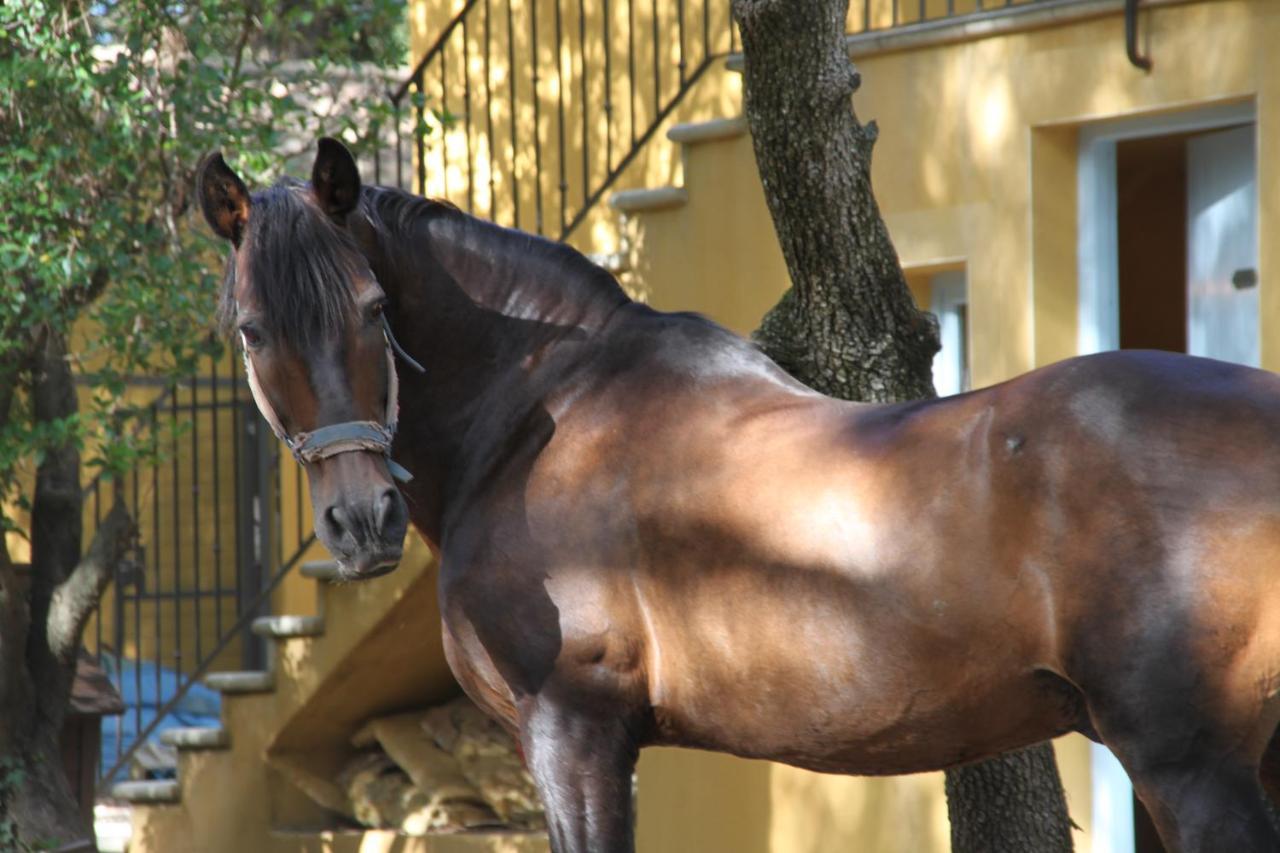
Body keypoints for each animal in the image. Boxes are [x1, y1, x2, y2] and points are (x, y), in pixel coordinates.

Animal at [197, 139, 1280, 850]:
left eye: (374, 309)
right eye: (249, 329)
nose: (360, 522)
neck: (541, 413)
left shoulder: (573, 733)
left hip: (1192, 768)